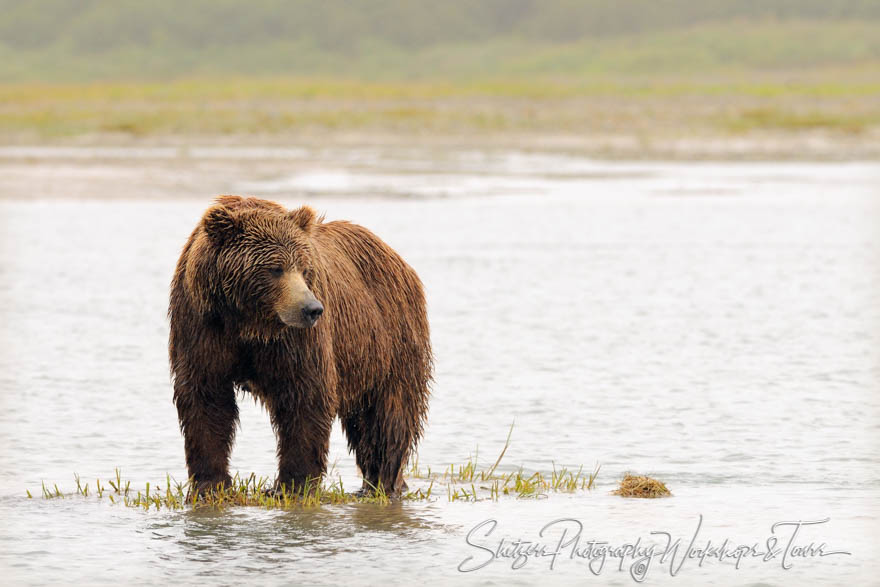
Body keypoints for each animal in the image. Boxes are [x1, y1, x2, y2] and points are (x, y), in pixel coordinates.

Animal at [167, 196, 432, 496]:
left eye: (304, 269)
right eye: (275, 268)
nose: (312, 309)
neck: (249, 322)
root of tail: (396, 257)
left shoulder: (296, 341)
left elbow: (305, 396)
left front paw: (293, 484)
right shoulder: (202, 324)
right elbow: (207, 397)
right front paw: (210, 484)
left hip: (388, 341)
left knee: (388, 415)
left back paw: (383, 482)